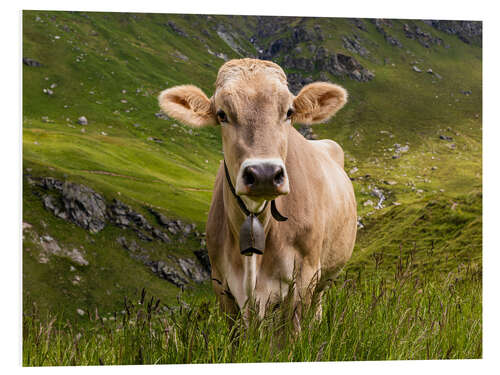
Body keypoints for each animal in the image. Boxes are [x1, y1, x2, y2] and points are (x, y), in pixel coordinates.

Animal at [158, 58, 358, 326]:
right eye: (222, 114)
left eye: (289, 112)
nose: (264, 174)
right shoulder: (221, 283)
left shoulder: (304, 276)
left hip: (325, 276)